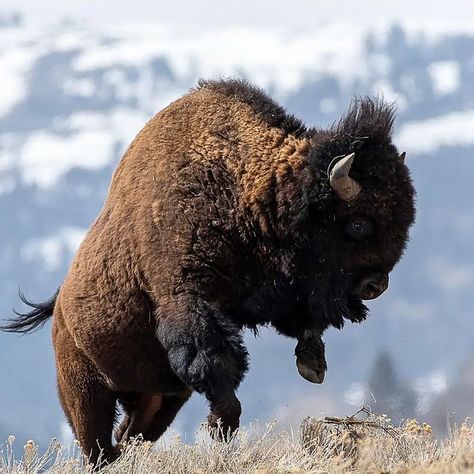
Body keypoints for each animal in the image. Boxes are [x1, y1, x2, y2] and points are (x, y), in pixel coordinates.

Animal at [0, 79, 414, 464]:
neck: (243, 185)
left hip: (158, 398)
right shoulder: (187, 302)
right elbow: (216, 363)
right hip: (85, 391)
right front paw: (220, 426)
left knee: (130, 435)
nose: (376, 285)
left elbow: (299, 321)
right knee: (99, 443)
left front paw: (312, 363)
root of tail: (59, 311)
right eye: (358, 225)